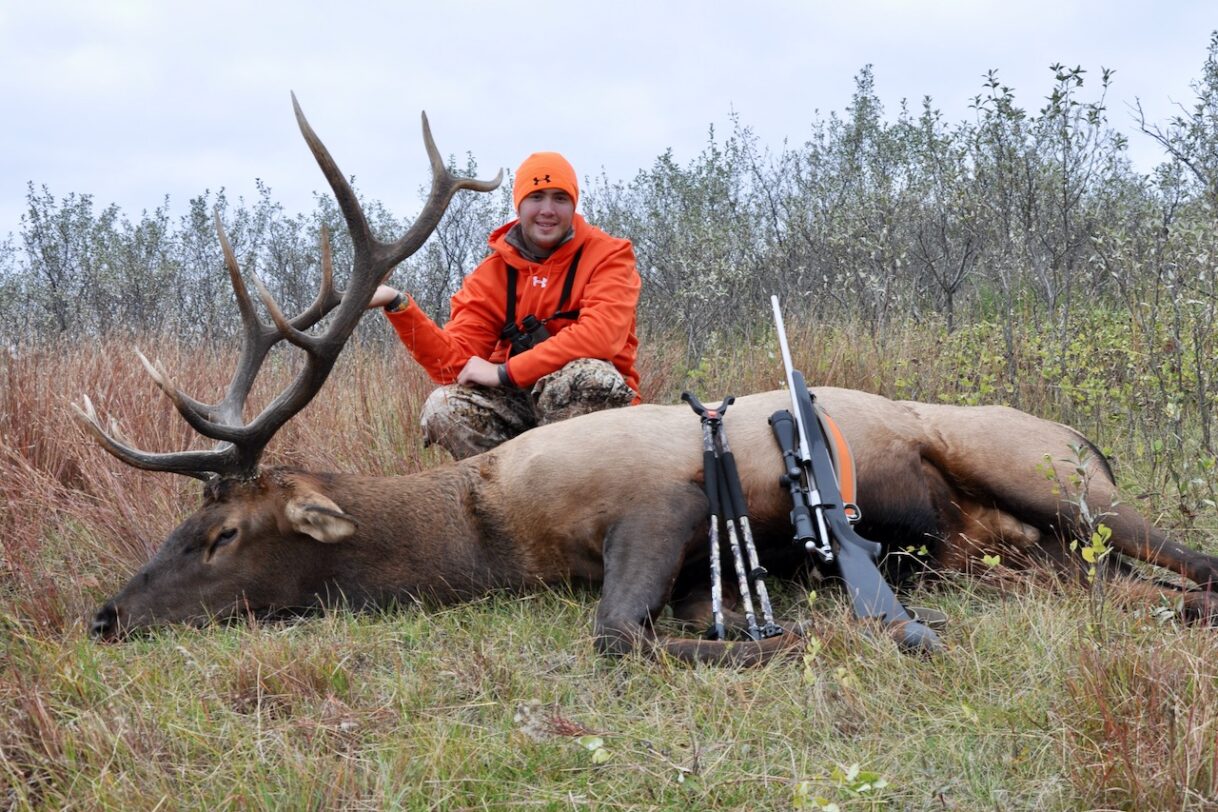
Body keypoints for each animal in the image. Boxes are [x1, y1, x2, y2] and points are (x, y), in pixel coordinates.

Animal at [78, 96, 1218, 666]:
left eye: (221, 534)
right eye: (183, 522)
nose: (105, 616)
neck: (486, 532)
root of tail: (1090, 441)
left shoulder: (656, 502)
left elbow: (620, 634)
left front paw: (796, 632)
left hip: (1054, 480)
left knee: (1193, 558)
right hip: (1019, 554)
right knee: (1118, 582)